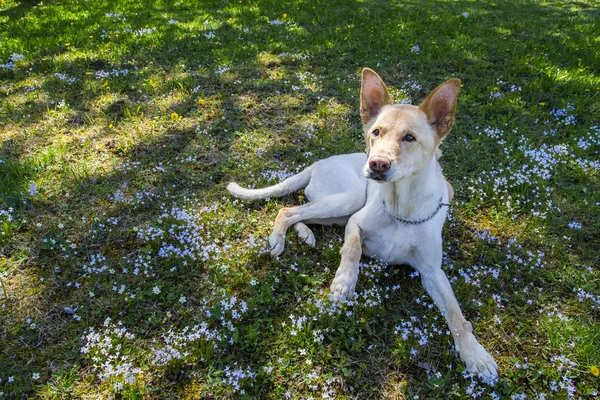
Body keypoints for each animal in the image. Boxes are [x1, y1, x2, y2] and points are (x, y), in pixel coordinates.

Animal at [227, 69, 500, 378]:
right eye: (376, 132)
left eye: (410, 137)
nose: (377, 164)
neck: (401, 208)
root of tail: (319, 162)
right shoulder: (355, 224)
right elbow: (352, 250)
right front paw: (344, 282)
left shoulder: (433, 272)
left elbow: (456, 314)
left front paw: (475, 354)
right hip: (350, 199)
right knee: (288, 209)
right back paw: (280, 238)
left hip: (343, 208)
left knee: (298, 211)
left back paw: (305, 234)